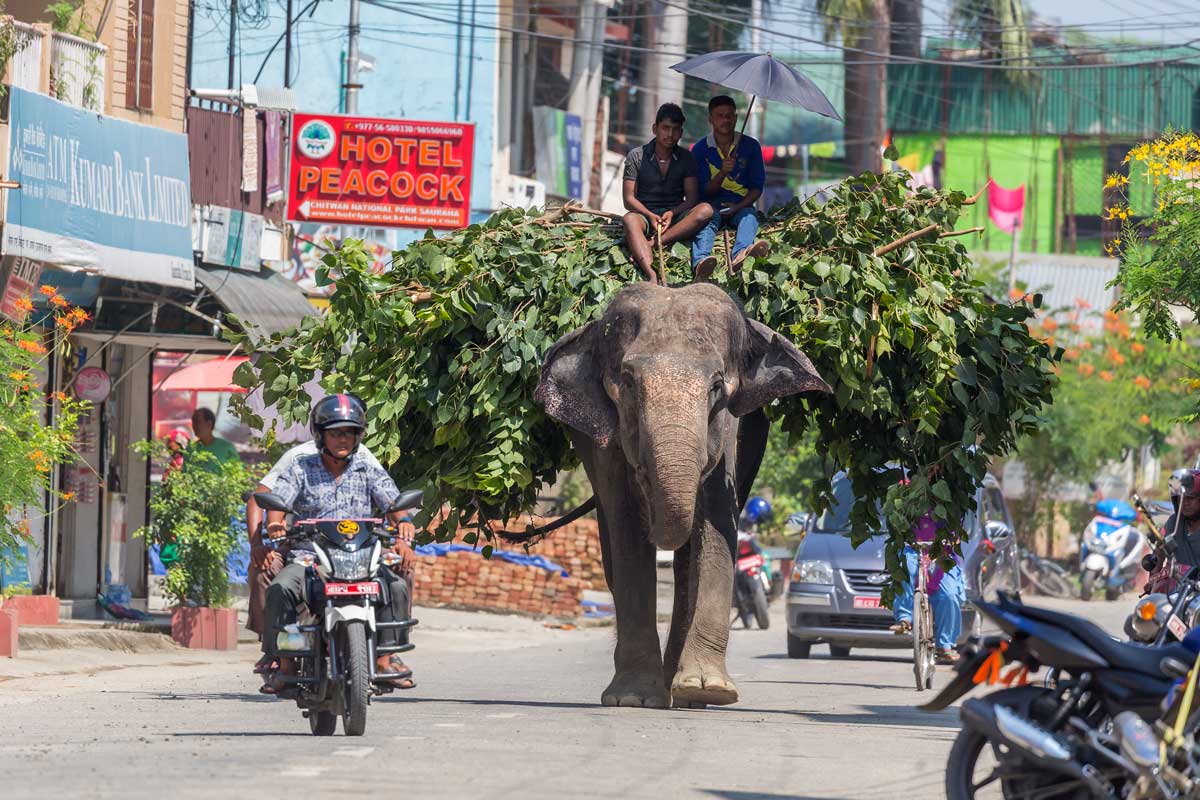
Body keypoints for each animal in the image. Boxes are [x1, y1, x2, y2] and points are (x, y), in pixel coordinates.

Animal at [535, 282, 831, 708]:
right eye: (628, 382)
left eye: (717, 386)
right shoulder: (603, 442)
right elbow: (625, 528)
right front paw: (633, 698)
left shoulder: (730, 428)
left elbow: (719, 520)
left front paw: (707, 689)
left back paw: (684, 691)